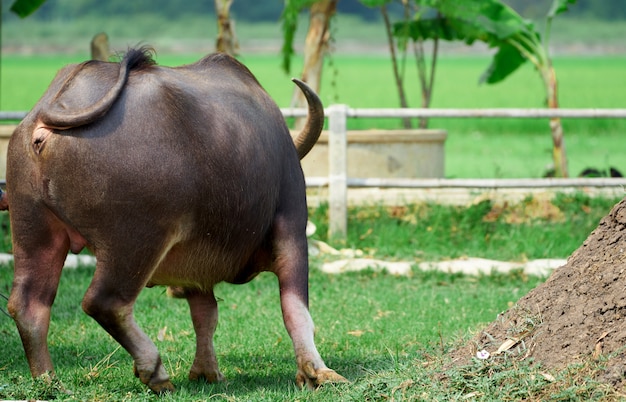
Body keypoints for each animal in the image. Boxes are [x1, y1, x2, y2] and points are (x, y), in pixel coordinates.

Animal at [6, 47, 346, 392]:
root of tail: (48, 114)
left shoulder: (195, 265)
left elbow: (205, 314)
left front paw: (207, 372)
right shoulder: (292, 226)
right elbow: (295, 309)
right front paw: (319, 372)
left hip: (33, 229)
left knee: (29, 305)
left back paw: (49, 381)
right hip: (135, 240)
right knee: (105, 302)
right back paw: (155, 370)